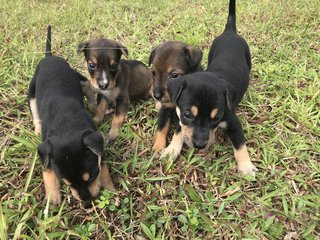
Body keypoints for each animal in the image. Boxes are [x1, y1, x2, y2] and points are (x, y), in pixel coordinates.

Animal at [27, 26, 115, 204]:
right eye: (66, 183)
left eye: (92, 176)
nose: (87, 202)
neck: (66, 127)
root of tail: (49, 57)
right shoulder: (45, 150)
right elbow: (48, 172)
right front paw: (52, 199)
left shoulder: (96, 143)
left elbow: (103, 165)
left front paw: (110, 187)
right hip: (31, 91)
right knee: (35, 112)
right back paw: (37, 129)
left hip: (78, 77)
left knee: (89, 89)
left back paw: (94, 107)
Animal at [160, 0, 258, 176]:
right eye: (187, 114)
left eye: (217, 117)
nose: (199, 145)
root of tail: (230, 31)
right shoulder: (181, 117)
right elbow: (179, 131)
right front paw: (171, 150)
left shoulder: (234, 122)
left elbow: (240, 144)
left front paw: (246, 168)